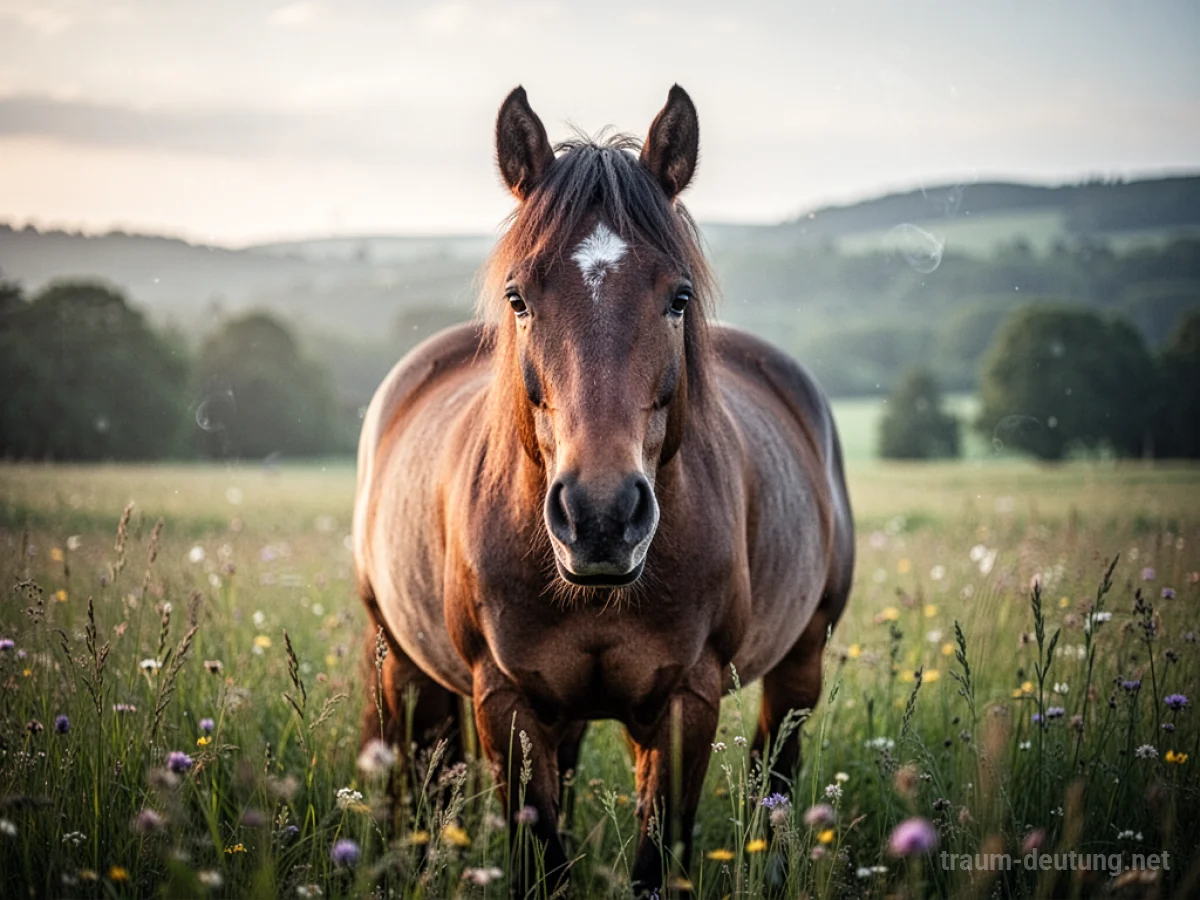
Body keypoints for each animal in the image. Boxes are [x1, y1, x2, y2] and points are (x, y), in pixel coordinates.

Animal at [353, 84, 855, 894]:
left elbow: (659, 856)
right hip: (404, 664)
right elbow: (539, 858)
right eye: (518, 298)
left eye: (678, 297)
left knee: (775, 780)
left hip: (801, 662)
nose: (600, 517)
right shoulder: (506, 702)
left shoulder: (687, 702)